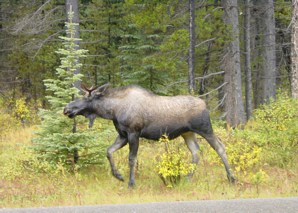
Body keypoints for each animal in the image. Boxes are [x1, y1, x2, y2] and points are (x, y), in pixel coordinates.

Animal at [64, 83, 236, 186]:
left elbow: (132, 159)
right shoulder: (123, 135)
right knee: (196, 151)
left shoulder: (133, 132)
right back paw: (188, 177)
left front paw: (131, 182)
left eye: (87, 98)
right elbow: (109, 151)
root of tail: (205, 105)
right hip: (187, 133)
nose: (67, 108)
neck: (113, 111)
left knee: (220, 147)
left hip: (205, 128)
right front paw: (118, 175)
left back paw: (231, 178)